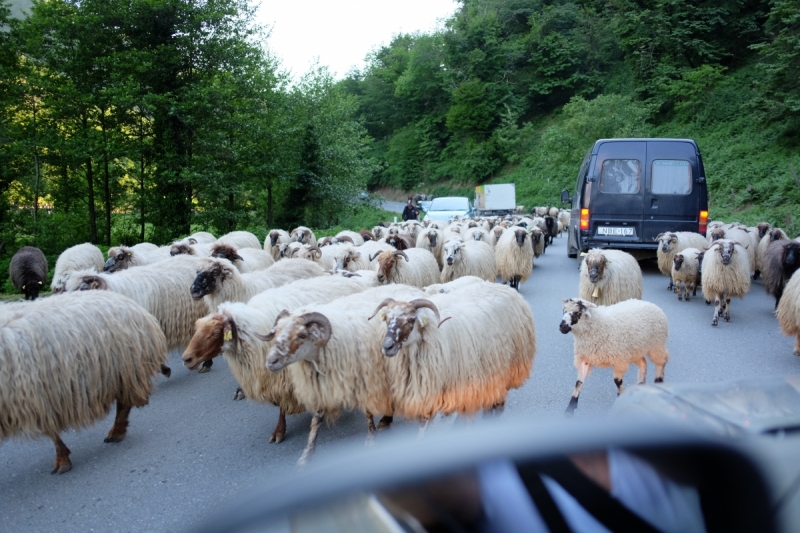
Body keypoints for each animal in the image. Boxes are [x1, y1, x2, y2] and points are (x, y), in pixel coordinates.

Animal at [0, 290, 167, 474]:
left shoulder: (38, 398)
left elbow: (51, 431)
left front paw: (62, 461)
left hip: (127, 369)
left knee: (124, 404)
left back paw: (117, 432)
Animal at [260, 282, 424, 462]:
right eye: (276, 332)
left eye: (302, 335)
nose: (270, 362)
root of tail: (408, 286)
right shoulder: (324, 383)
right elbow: (316, 420)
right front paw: (306, 455)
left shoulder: (364, 377)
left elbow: (368, 412)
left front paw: (370, 440)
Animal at [376, 278, 536, 424]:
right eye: (387, 318)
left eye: (411, 320)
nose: (387, 346)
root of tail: (504, 288)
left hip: (506, 368)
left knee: (498, 403)